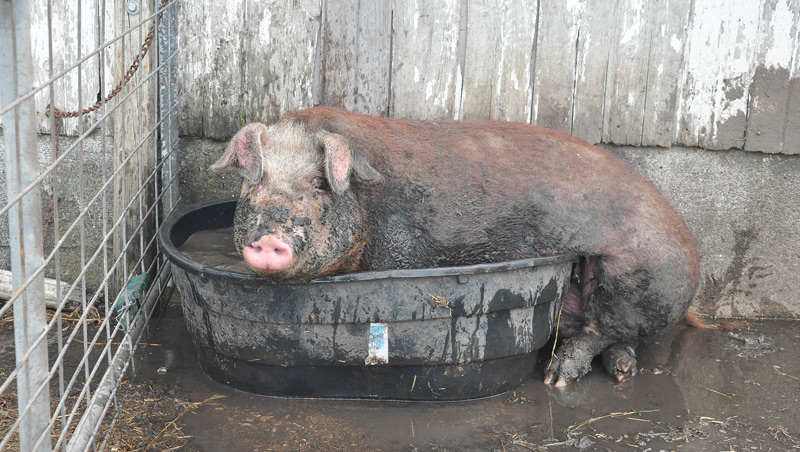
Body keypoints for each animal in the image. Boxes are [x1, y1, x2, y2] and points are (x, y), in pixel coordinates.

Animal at [210, 107, 699, 387]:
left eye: (317, 184)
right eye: (254, 182)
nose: (268, 239)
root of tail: (691, 247)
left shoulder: (402, 256)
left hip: (644, 278)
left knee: (605, 329)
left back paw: (557, 379)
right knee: (614, 337)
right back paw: (620, 372)